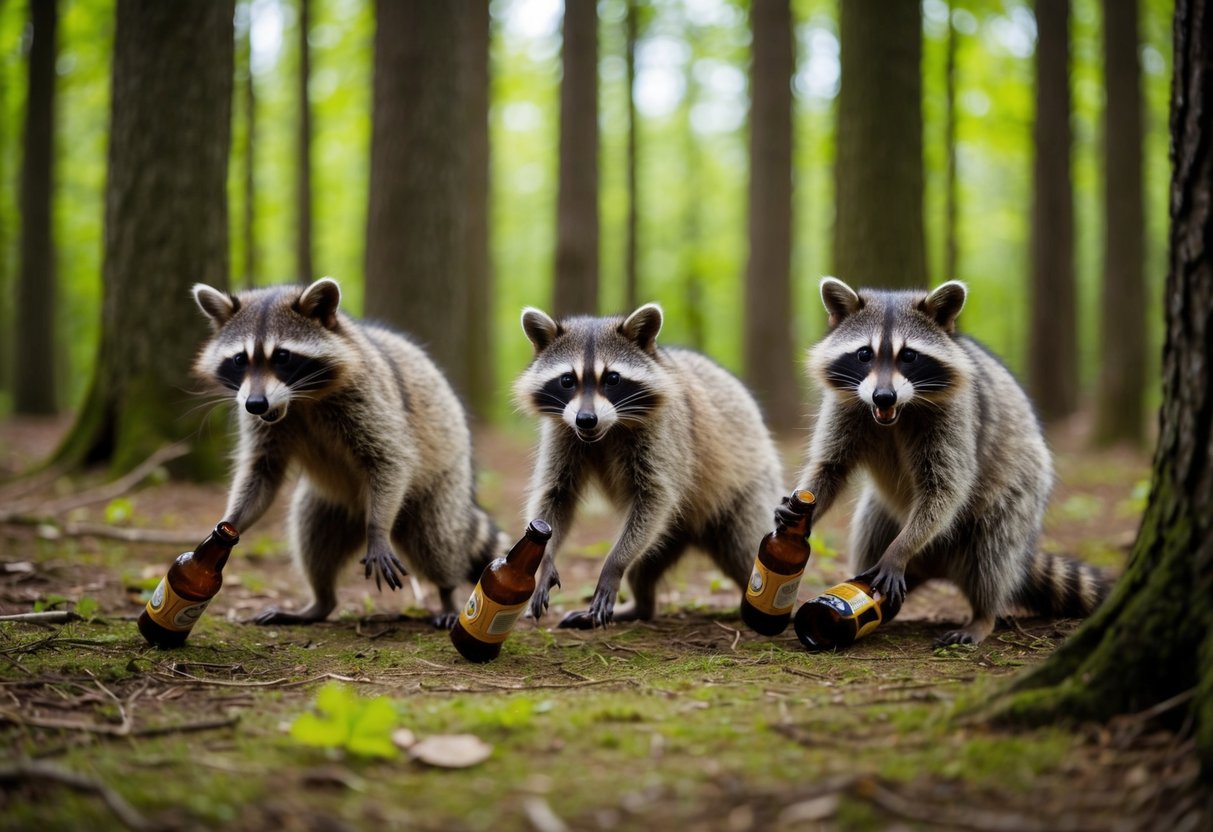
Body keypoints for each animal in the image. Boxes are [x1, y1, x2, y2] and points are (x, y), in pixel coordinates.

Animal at [191, 277, 506, 627]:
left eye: (283, 356)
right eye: (239, 360)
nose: (256, 404)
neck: (299, 400)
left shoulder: (368, 395)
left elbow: (390, 457)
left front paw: (378, 529)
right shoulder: (262, 422)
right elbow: (262, 471)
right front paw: (229, 524)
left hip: (442, 483)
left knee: (437, 541)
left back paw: (447, 594)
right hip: (329, 505)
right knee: (313, 542)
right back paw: (320, 601)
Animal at [514, 303, 784, 629]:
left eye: (612, 379)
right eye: (567, 380)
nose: (586, 419)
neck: (605, 430)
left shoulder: (666, 433)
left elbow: (655, 495)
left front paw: (613, 564)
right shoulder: (563, 432)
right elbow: (555, 494)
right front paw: (545, 560)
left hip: (748, 486)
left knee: (747, 547)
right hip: (671, 535)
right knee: (643, 567)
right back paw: (640, 606)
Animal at [792, 277, 1108, 644]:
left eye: (909, 356)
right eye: (864, 354)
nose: (883, 396)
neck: (895, 414)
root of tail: (934, 568)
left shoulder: (957, 416)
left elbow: (945, 489)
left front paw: (900, 549)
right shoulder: (846, 406)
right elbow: (831, 467)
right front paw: (802, 510)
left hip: (1018, 495)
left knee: (993, 553)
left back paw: (983, 613)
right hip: (883, 513)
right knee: (869, 531)